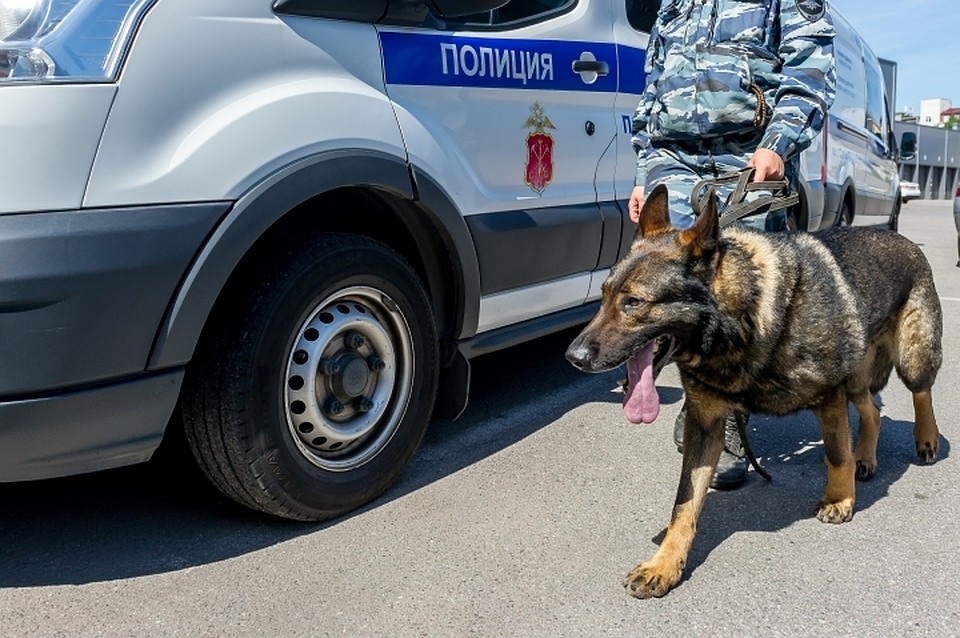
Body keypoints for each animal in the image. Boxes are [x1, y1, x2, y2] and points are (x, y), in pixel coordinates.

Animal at [568, 185, 940, 600]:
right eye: (603, 297)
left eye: (633, 302)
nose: (573, 357)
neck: (740, 319)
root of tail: (900, 236)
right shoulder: (705, 425)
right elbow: (684, 502)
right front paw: (664, 564)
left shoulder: (829, 395)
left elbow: (835, 453)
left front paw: (839, 500)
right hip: (856, 377)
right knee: (872, 410)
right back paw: (867, 457)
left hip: (910, 357)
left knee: (921, 393)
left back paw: (926, 440)